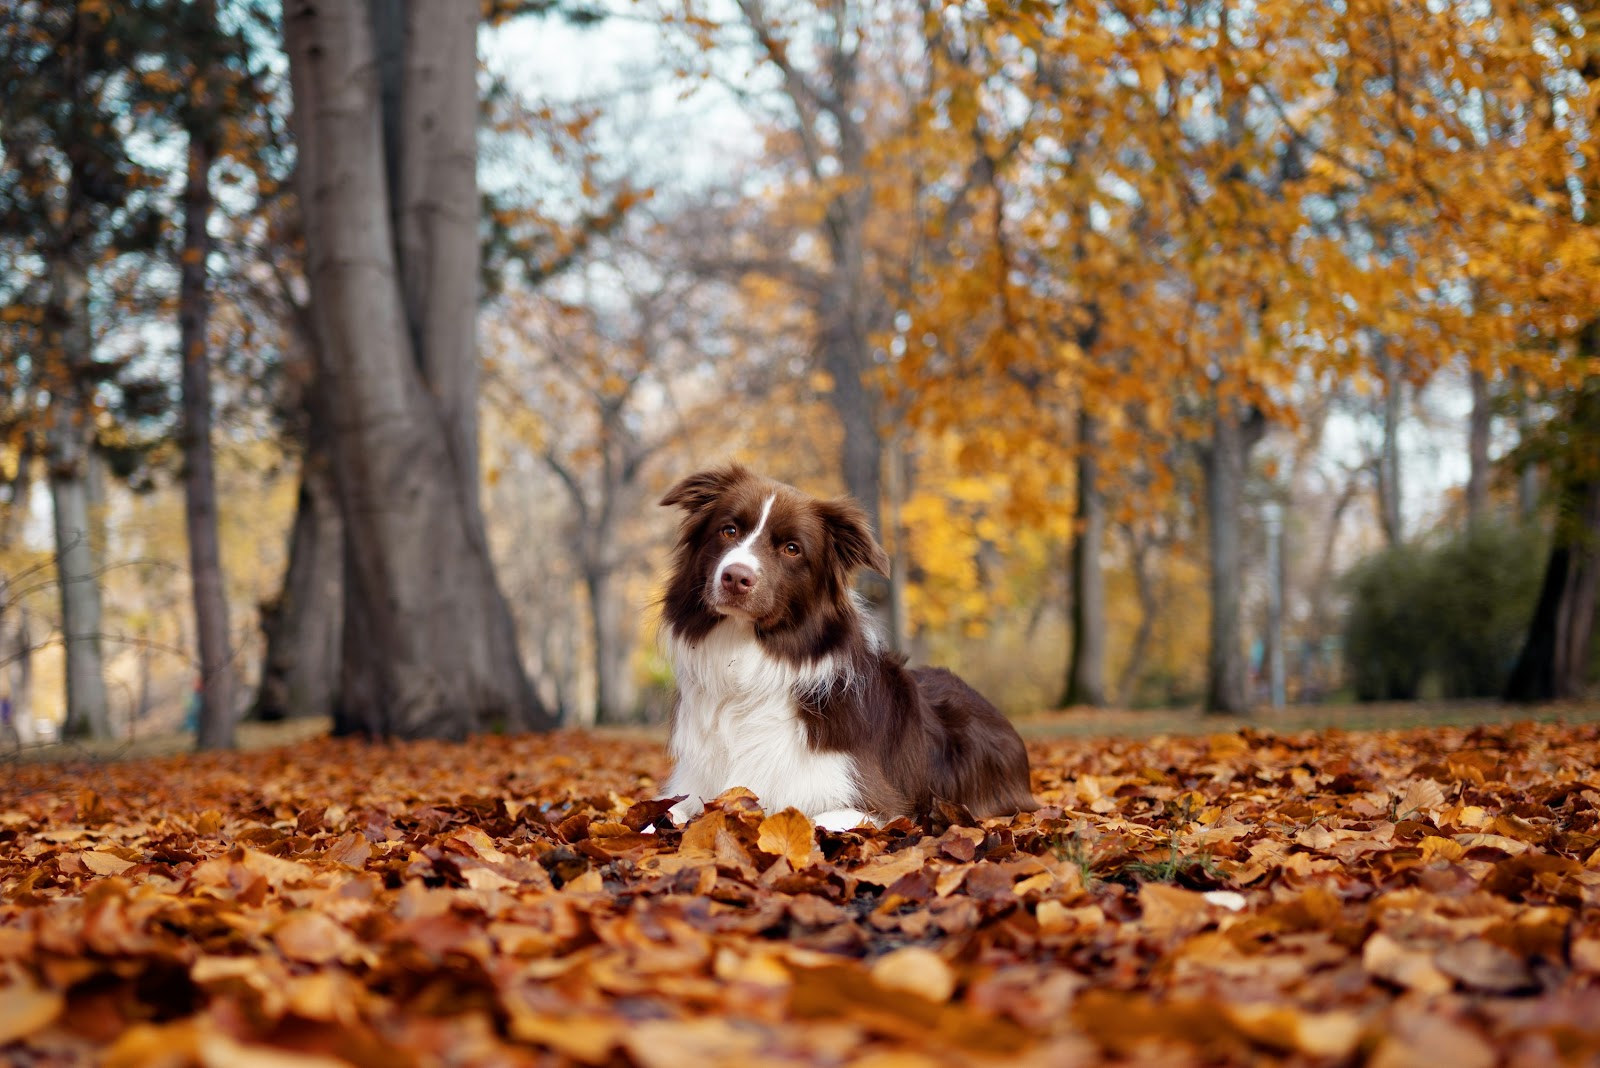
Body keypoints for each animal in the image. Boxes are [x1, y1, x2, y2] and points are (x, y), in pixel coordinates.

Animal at [656, 470, 1030, 831]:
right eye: (729, 530)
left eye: (792, 548)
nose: (736, 577)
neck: (745, 666)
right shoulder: (690, 786)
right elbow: (662, 815)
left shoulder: (874, 802)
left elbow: (813, 819)